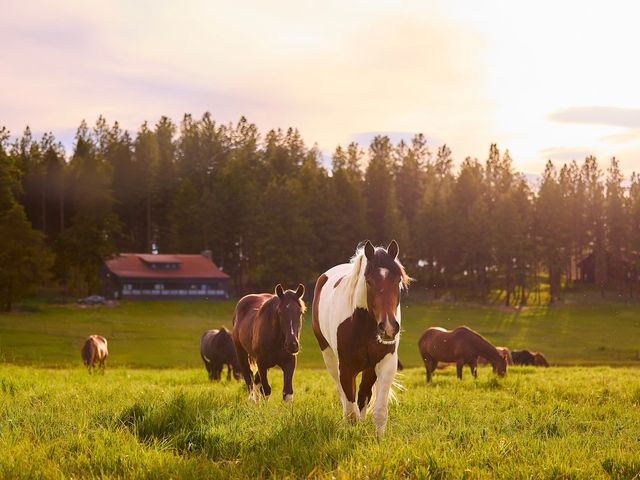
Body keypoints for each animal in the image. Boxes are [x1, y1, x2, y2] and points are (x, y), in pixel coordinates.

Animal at [312, 240, 409, 436]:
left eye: (398, 280)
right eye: (369, 281)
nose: (389, 327)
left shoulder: (385, 364)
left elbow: (379, 410)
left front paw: (379, 439)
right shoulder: (346, 368)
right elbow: (351, 413)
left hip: (368, 368)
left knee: (364, 394)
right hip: (329, 357)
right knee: (342, 393)